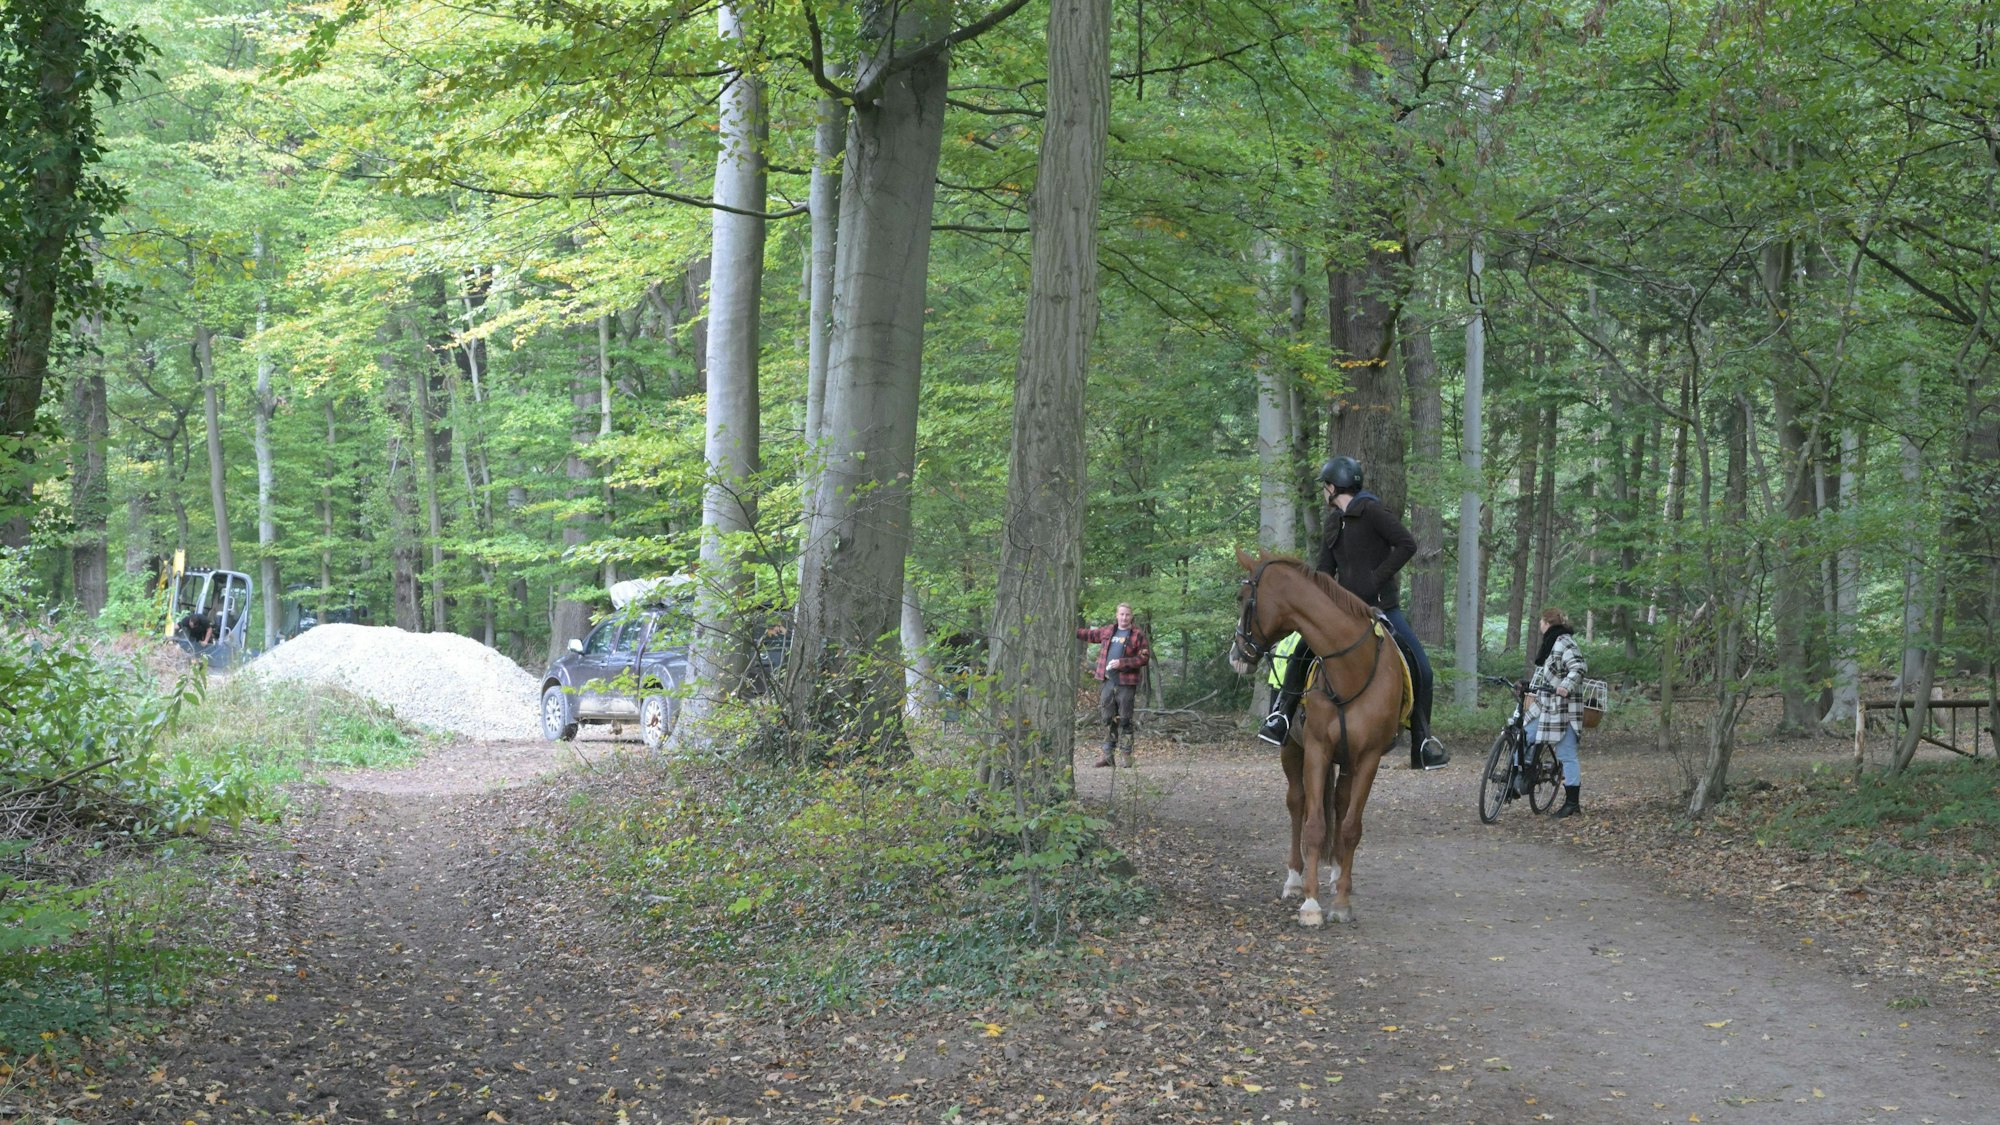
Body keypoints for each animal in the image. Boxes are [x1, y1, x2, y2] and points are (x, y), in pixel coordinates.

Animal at [1226, 548, 1409, 926]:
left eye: (1241, 597)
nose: (1236, 656)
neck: (1350, 670)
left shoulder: (1368, 757)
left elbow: (1351, 826)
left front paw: (1341, 902)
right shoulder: (1316, 750)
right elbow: (1313, 826)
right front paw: (1310, 904)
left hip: (1348, 760)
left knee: (1339, 804)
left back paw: (1339, 873)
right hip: (1292, 751)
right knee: (1297, 804)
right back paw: (1295, 880)